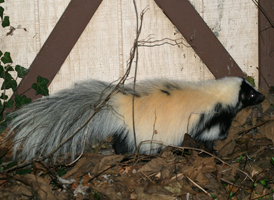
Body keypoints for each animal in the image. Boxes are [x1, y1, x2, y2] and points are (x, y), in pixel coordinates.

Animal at [6, 77, 264, 162]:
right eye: (251, 94)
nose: (263, 96)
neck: (215, 94)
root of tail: (117, 104)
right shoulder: (209, 116)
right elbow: (207, 136)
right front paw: (214, 150)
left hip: (128, 128)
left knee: (119, 140)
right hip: (140, 132)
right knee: (126, 144)